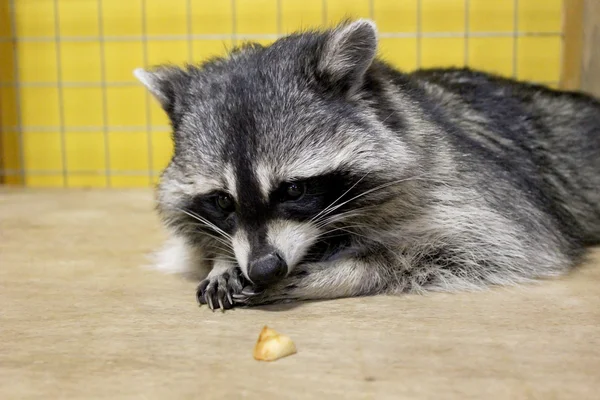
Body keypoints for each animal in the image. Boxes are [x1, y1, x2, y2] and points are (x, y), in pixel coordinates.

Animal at [135, 19, 600, 310]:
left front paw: (342, 272)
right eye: (222, 201)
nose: (266, 269)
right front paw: (221, 260)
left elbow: (497, 246)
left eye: (294, 190)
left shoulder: (466, 188)